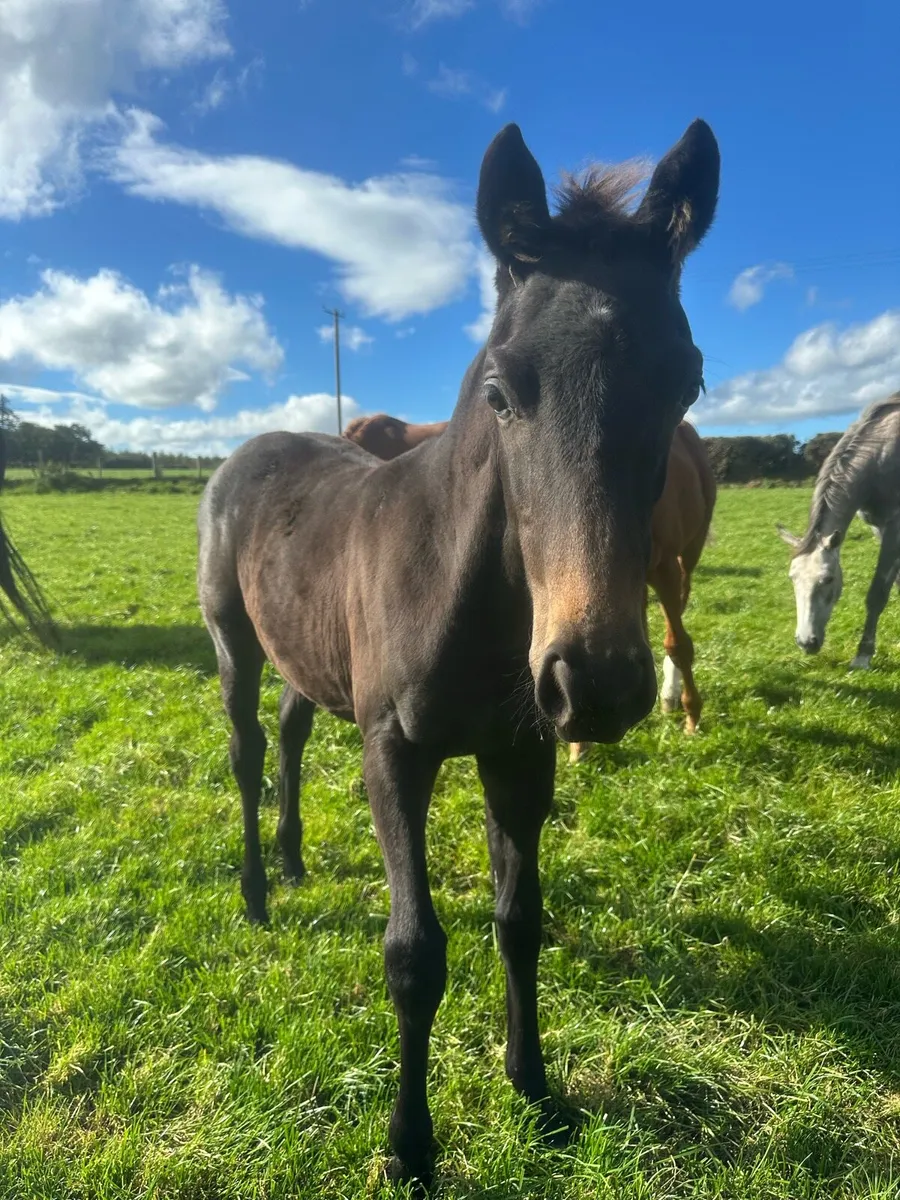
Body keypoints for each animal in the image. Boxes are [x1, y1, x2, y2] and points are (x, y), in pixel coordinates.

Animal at [198, 119, 719, 1182]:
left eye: (687, 380)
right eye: (501, 390)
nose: (595, 681)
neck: (464, 590)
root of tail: (248, 450)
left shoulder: (519, 753)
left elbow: (519, 919)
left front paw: (537, 1090)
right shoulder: (395, 753)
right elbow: (413, 954)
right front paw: (408, 1148)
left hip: (311, 655)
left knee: (290, 733)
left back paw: (294, 861)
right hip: (235, 642)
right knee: (245, 749)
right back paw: (258, 892)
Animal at [777, 392, 900, 669]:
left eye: (828, 579)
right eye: (792, 578)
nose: (806, 642)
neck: (883, 453)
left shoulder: (895, 527)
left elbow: (878, 592)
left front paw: (863, 655)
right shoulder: (878, 527)